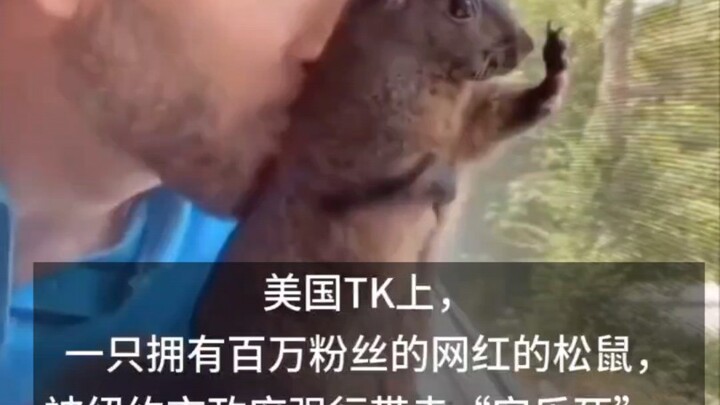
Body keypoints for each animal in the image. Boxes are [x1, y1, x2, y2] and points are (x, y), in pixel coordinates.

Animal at [192, 0, 569, 401]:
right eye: (459, 10)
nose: (527, 43)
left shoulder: (464, 128)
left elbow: (495, 119)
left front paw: (558, 60)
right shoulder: (353, 158)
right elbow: (385, 185)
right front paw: (437, 185)